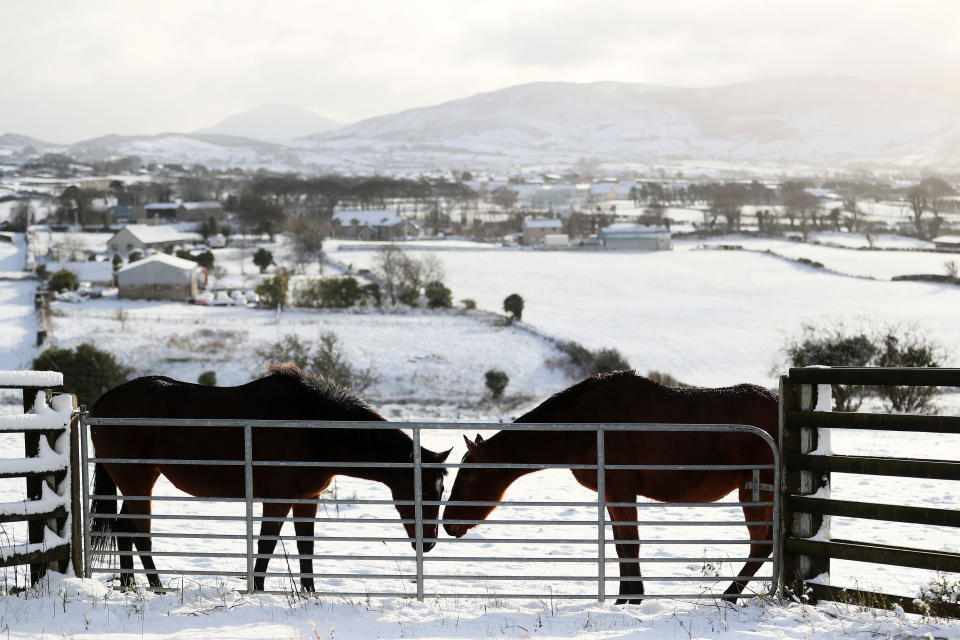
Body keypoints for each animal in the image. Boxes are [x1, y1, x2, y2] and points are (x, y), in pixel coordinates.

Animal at [90, 362, 450, 592]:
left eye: (441, 490)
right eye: (423, 490)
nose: (428, 542)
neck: (315, 428)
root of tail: (101, 404)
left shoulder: (307, 499)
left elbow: (306, 546)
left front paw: (309, 592)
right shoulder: (277, 498)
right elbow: (266, 544)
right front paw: (258, 589)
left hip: (138, 481)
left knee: (125, 529)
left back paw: (131, 586)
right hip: (137, 480)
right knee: (138, 532)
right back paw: (155, 586)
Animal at [442, 372, 780, 604]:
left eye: (468, 478)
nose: (448, 525)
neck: (584, 425)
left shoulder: (621, 490)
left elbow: (630, 545)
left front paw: (633, 599)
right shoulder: (612, 494)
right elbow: (621, 547)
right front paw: (625, 598)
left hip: (753, 492)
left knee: (761, 545)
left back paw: (729, 595)